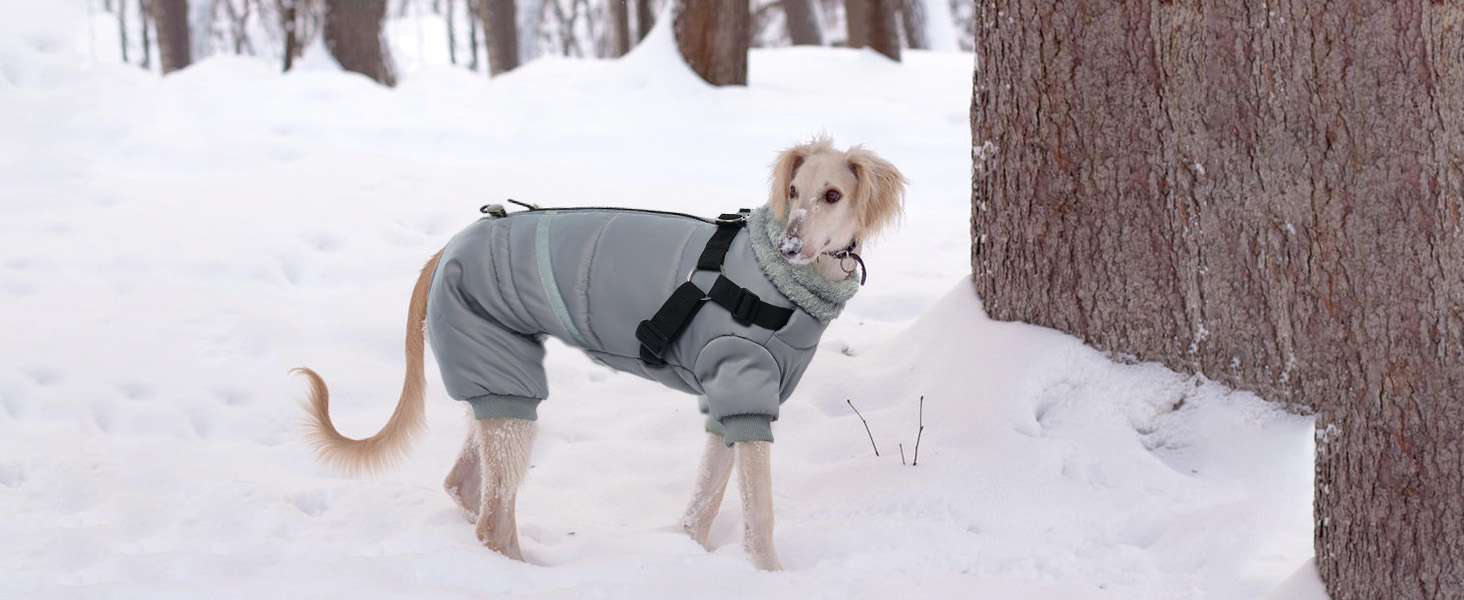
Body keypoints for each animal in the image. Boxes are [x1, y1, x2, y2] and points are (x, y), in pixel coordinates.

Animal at [294, 136, 901, 570]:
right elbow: (761, 519)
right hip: (506, 381)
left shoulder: (729, 406)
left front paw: (689, 555)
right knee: (492, 524)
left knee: (466, 488)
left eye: (832, 195)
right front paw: (767, 577)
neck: (776, 281)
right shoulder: (743, 390)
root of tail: (446, 247)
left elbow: (703, 504)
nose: (790, 245)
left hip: (497, 384)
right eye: (793, 191)